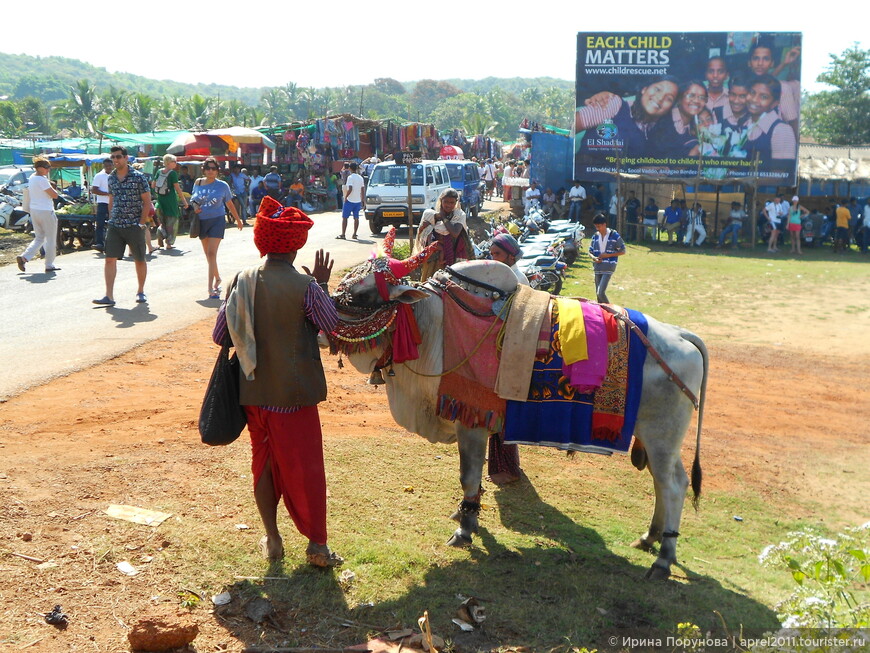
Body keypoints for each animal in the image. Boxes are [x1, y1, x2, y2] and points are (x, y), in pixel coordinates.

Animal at [328, 228, 708, 576]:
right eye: (347, 280)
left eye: (362, 293)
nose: (323, 313)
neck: (437, 324)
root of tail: (679, 335)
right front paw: (467, 515)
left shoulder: (470, 420)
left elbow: (468, 477)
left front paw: (465, 528)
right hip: (653, 437)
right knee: (664, 482)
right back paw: (650, 537)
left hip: (661, 437)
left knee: (674, 485)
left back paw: (663, 557)